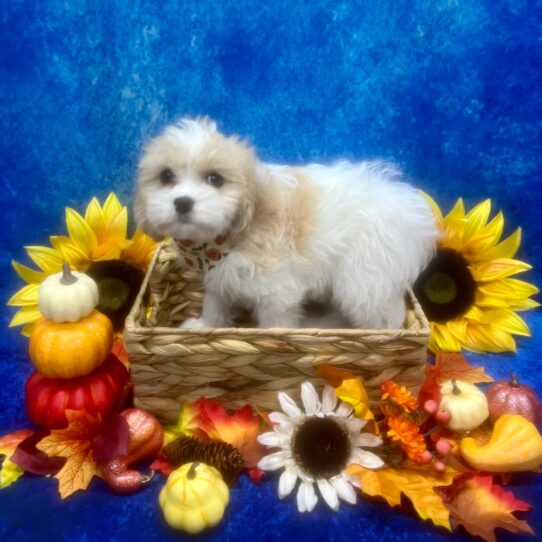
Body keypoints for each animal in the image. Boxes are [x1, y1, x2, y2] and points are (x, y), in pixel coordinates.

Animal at [136, 118, 442, 330]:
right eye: (166, 176)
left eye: (215, 179)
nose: (183, 202)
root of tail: (409, 209)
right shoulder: (219, 278)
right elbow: (216, 303)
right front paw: (205, 326)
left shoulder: (278, 291)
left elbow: (275, 323)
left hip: (364, 279)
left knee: (385, 317)